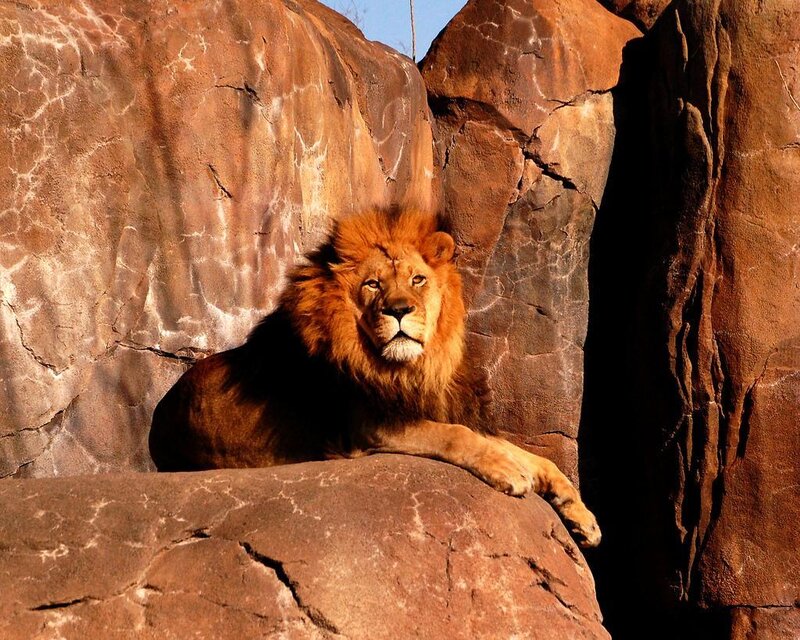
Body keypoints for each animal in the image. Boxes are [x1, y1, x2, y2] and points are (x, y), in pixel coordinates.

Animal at [149, 208, 600, 547]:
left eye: (418, 279)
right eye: (372, 284)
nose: (399, 310)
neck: (407, 368)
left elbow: (534, 454)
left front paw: (581, 515)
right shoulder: (374, 425)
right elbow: (456, 436)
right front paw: (509, 471)